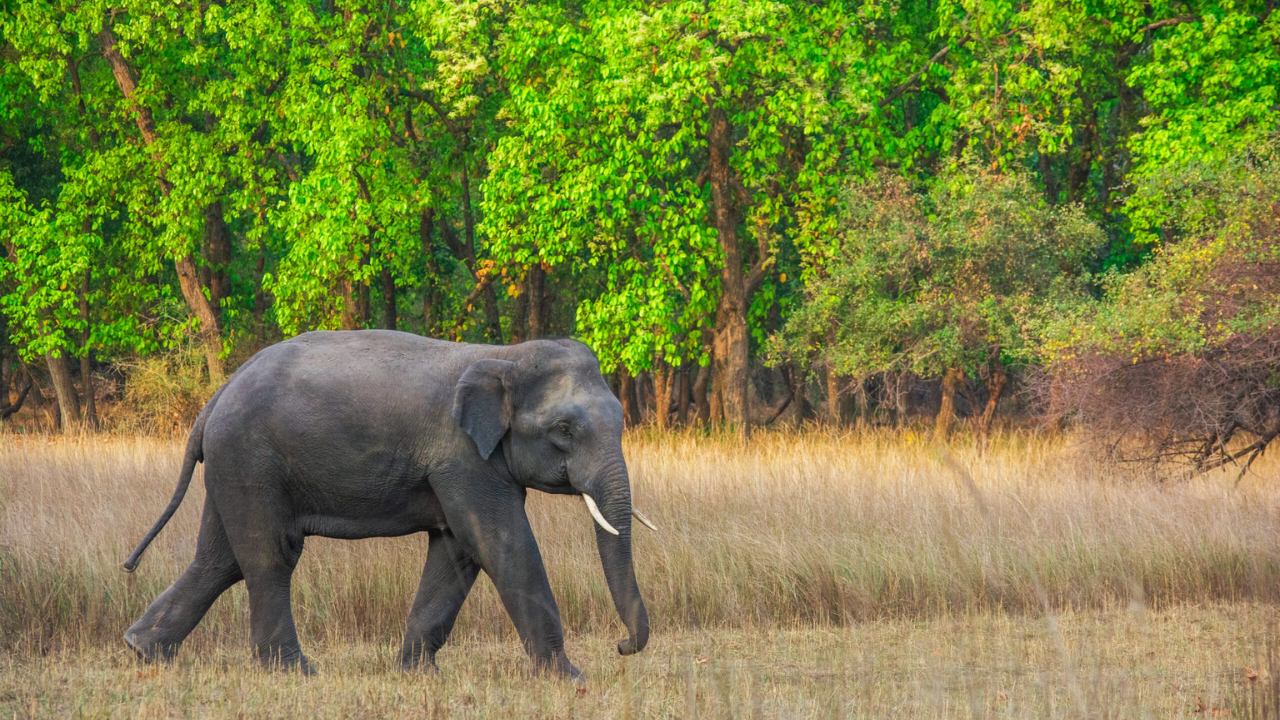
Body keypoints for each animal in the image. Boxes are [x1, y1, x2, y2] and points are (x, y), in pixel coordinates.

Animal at [123, 327, 655, 676]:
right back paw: (295, 672)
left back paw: (144, 651)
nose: (621, 646)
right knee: (270, 557)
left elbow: (457, 550)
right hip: (251, 461)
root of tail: (216, 396)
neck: (503, 356)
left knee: (219, 560)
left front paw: (417, 674)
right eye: (564, 429)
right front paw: (570, 679)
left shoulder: (458, 466)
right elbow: (502, 544)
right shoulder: (461, 455)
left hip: (234, 466)